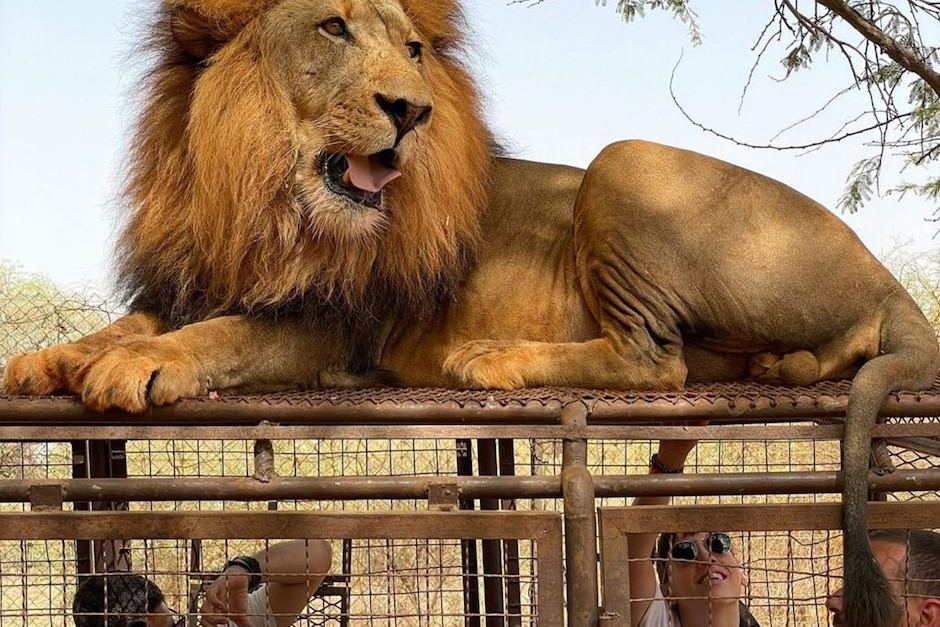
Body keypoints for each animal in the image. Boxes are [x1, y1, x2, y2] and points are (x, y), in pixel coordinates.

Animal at [3, 0, 937, 625]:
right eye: (333, 29)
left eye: (414, 47)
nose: (412, 109)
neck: (269, 196)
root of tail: (891, 282)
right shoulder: (197, 283)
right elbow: (132, 320)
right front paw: (52, 358)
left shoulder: (332, 323)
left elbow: (222, 333)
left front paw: (138, 366)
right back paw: (775, 367)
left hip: (624, 162)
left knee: (654, 359)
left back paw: (489, 356)